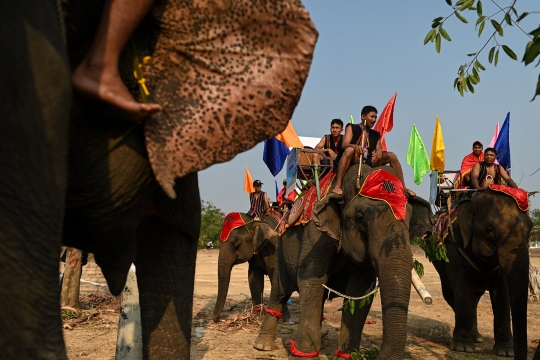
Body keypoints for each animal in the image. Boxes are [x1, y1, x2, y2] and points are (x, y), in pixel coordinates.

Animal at [254, 165, 418, 358]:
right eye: (360, 218)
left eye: (410, 220)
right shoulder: (316, 232)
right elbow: (310, 279)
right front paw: (304, 355)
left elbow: (359, 290)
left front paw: (345, 356)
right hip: (280, 246)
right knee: (280, 290)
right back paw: (263, 346)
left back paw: (319, 345)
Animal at [430, 188, 532, 358]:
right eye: (490, 231)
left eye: (530, 229)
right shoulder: (454, 246)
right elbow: (462, 288)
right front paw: (463, 348)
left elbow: (502, 292)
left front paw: (506, 352)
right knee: (452, 294)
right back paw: (471, 337)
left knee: (474, 298)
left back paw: (477, 337)